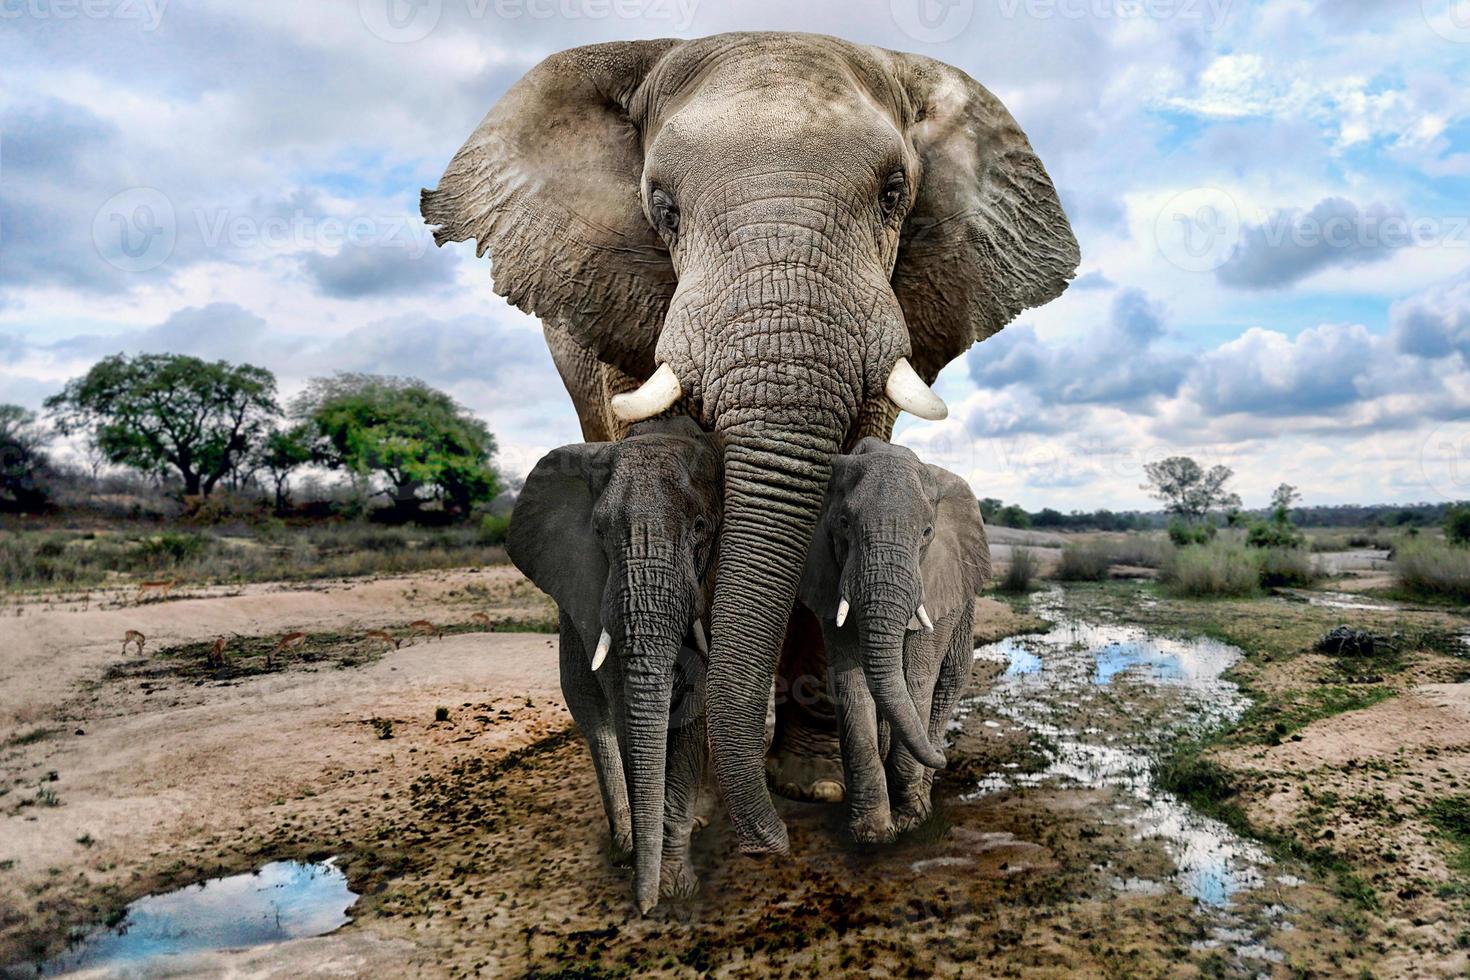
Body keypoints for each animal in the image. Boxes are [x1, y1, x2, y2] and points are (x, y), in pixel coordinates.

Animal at [505, 417, 723, 916]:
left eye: (700, 527)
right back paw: (625, 846)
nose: (643, 910)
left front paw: (674, 887)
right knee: (590, 710)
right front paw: (657, 876)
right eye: (600, 533)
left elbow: (694, 701)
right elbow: (622, 699)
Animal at [799, 437, 993, 846]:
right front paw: (871, 834)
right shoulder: (829, 574)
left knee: (949, 679)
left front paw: (910, 821)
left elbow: (917, 678)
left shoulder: (937, 580)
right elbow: (850, 684)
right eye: (844, 524)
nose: (944, 756)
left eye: (927, 533)